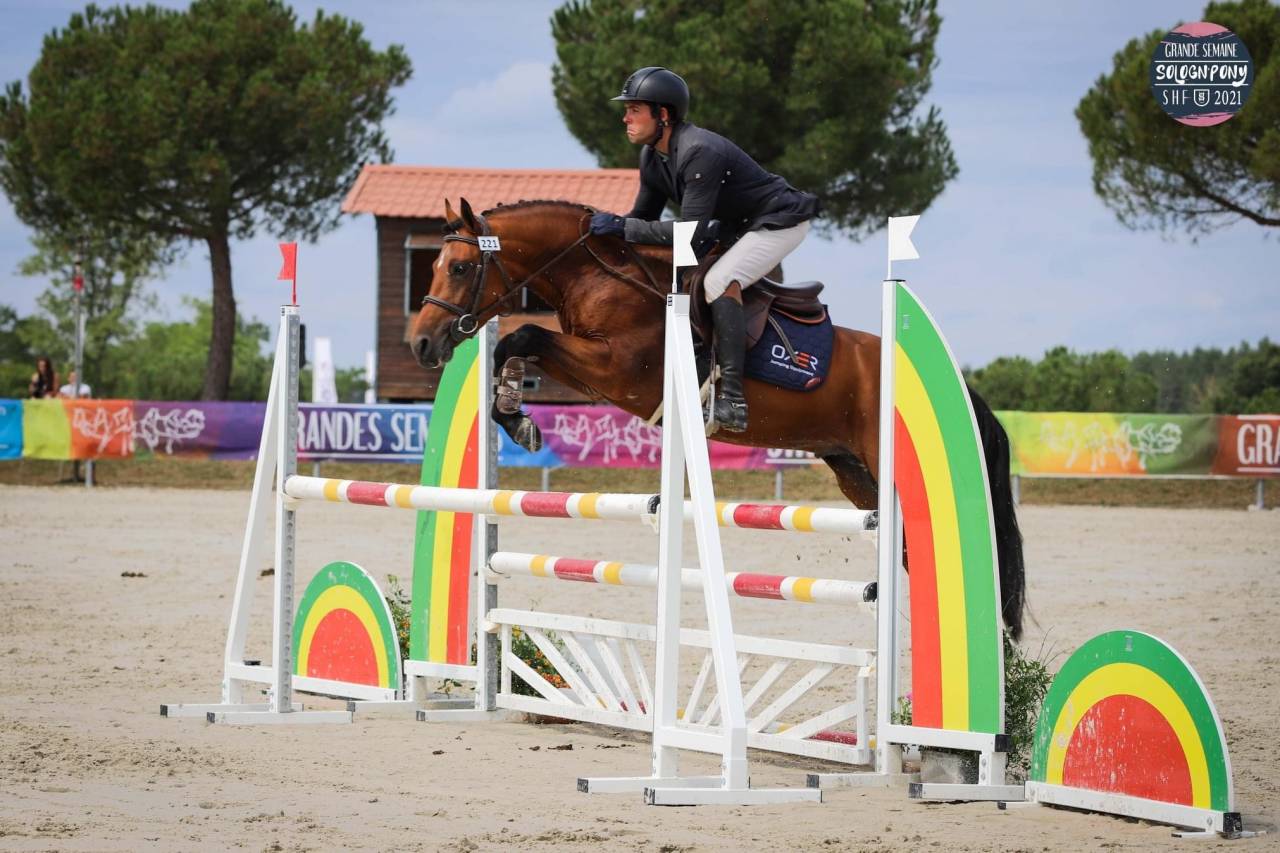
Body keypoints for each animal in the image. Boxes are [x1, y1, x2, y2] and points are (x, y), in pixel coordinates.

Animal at [409, 198, 1026, 639]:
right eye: (431, 265)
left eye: (459, 267)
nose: (421, 344)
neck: (596, 274)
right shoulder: (595, 374)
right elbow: (515, 347)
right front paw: (516, 415)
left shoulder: (618, 369)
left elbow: (526, 336)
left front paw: (518, 415)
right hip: (854, 472)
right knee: (903, 550)